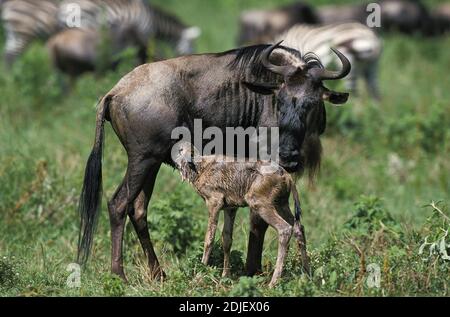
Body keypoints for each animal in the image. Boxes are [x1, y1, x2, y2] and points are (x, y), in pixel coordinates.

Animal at [173, 142, 310, 286]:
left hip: (260, 204)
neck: (200, 167)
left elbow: (209, 240)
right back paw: (307, 275)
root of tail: (287, 176)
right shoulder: (230, 209)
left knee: (285, 229)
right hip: (281, 205)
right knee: (298, 228)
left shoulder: (214, 203)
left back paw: (273, 283)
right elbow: (227, 240)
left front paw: (198, 277)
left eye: (180, 150)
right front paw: (225, 276)